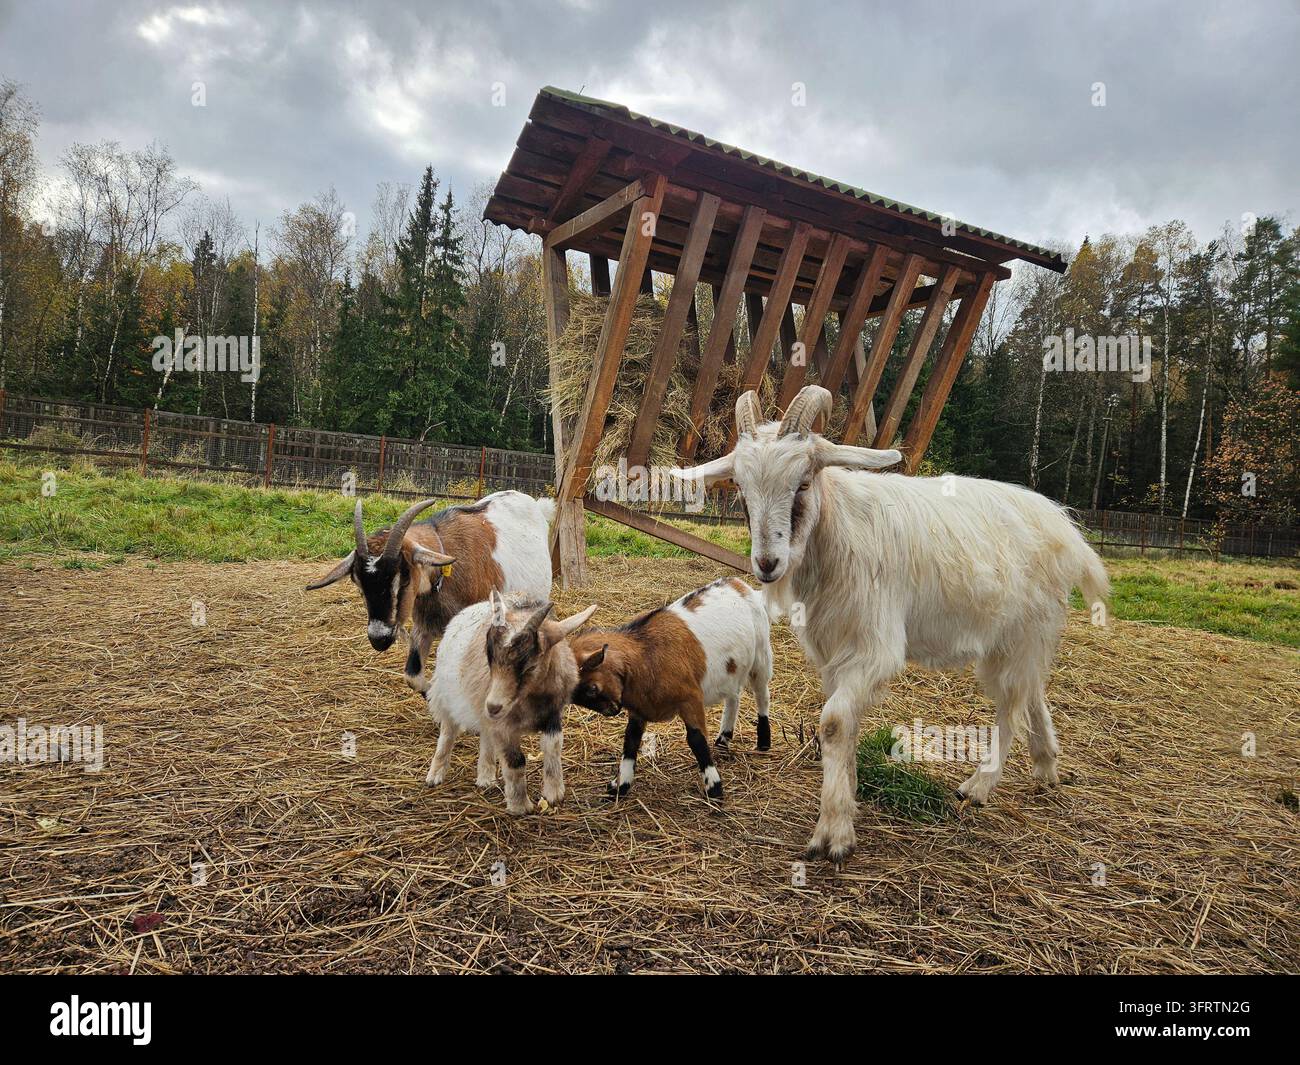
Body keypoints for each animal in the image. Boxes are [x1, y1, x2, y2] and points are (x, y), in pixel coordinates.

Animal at [306, 491, 554, 692]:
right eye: (359, 585)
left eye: (404, 578)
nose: (379, 639)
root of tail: (536, 504)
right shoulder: (424, 626)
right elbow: (413, 676)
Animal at [424, 591, 596, 815]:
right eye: (489, 658)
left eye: (531, 666)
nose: (493, 706)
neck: (531, 699)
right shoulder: (504, 727)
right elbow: (516, 761)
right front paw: (520, 806)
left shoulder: (551, 714)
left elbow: (553, 746)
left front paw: (554, 793)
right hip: (445, 697)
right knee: (447, 733)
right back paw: (435, 775)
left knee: (486, 735)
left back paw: (486, 777)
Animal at [569, 576, 773, 801]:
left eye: (592, 688)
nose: (611, 711)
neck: (646, 656)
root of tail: (738, 583)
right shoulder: (639, 708)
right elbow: (630, 740)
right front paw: (620, 785)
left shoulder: (690, 698)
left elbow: (697, 740)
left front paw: (714, 787)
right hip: (732, 669)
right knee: (733, 697)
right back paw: (723, 740)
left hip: (761, 657)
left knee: (762, 694)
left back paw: (764, 741)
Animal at [674, 386, 1110, 863]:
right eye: (740, 488)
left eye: (803, 482)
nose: (767, 564)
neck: (836, 532)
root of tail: (1065, 527)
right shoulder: (834, 652)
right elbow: (846, 724)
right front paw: (848, 797)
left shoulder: (873, 646)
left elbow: (833, 723)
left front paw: (833, 834)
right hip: (1023, 638)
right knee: (1033, 691)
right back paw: (1047, 766)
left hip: (1021, 632)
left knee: (1012, 706)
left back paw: (978, 786)